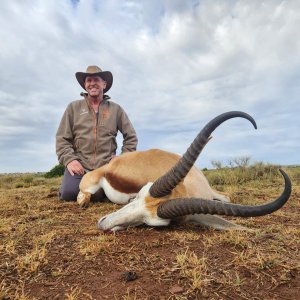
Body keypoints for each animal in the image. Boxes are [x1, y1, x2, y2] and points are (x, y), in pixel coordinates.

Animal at [77, 112, 290, 232]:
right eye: (136, 196)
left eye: (152, 224)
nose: (103, 224)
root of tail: (109, 166)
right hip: (89, 183)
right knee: (83, 195)